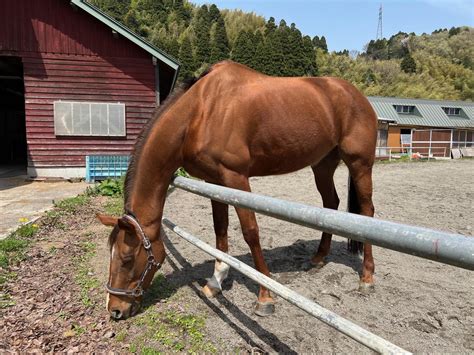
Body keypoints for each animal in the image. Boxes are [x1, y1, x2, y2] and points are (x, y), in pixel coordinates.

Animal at [97, 60, 378, 320]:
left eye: (127, 258)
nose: (115, 310)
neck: (200, 113)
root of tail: (356, 94)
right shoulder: (214, 181)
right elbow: (220, 228)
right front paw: (216, 282)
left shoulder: (236, 178)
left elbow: (250, 231)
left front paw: (265, 297)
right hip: (323, 165)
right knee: (331, 204)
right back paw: (319, 257)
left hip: (360, 164)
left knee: (367, 212)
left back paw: (366, 278)